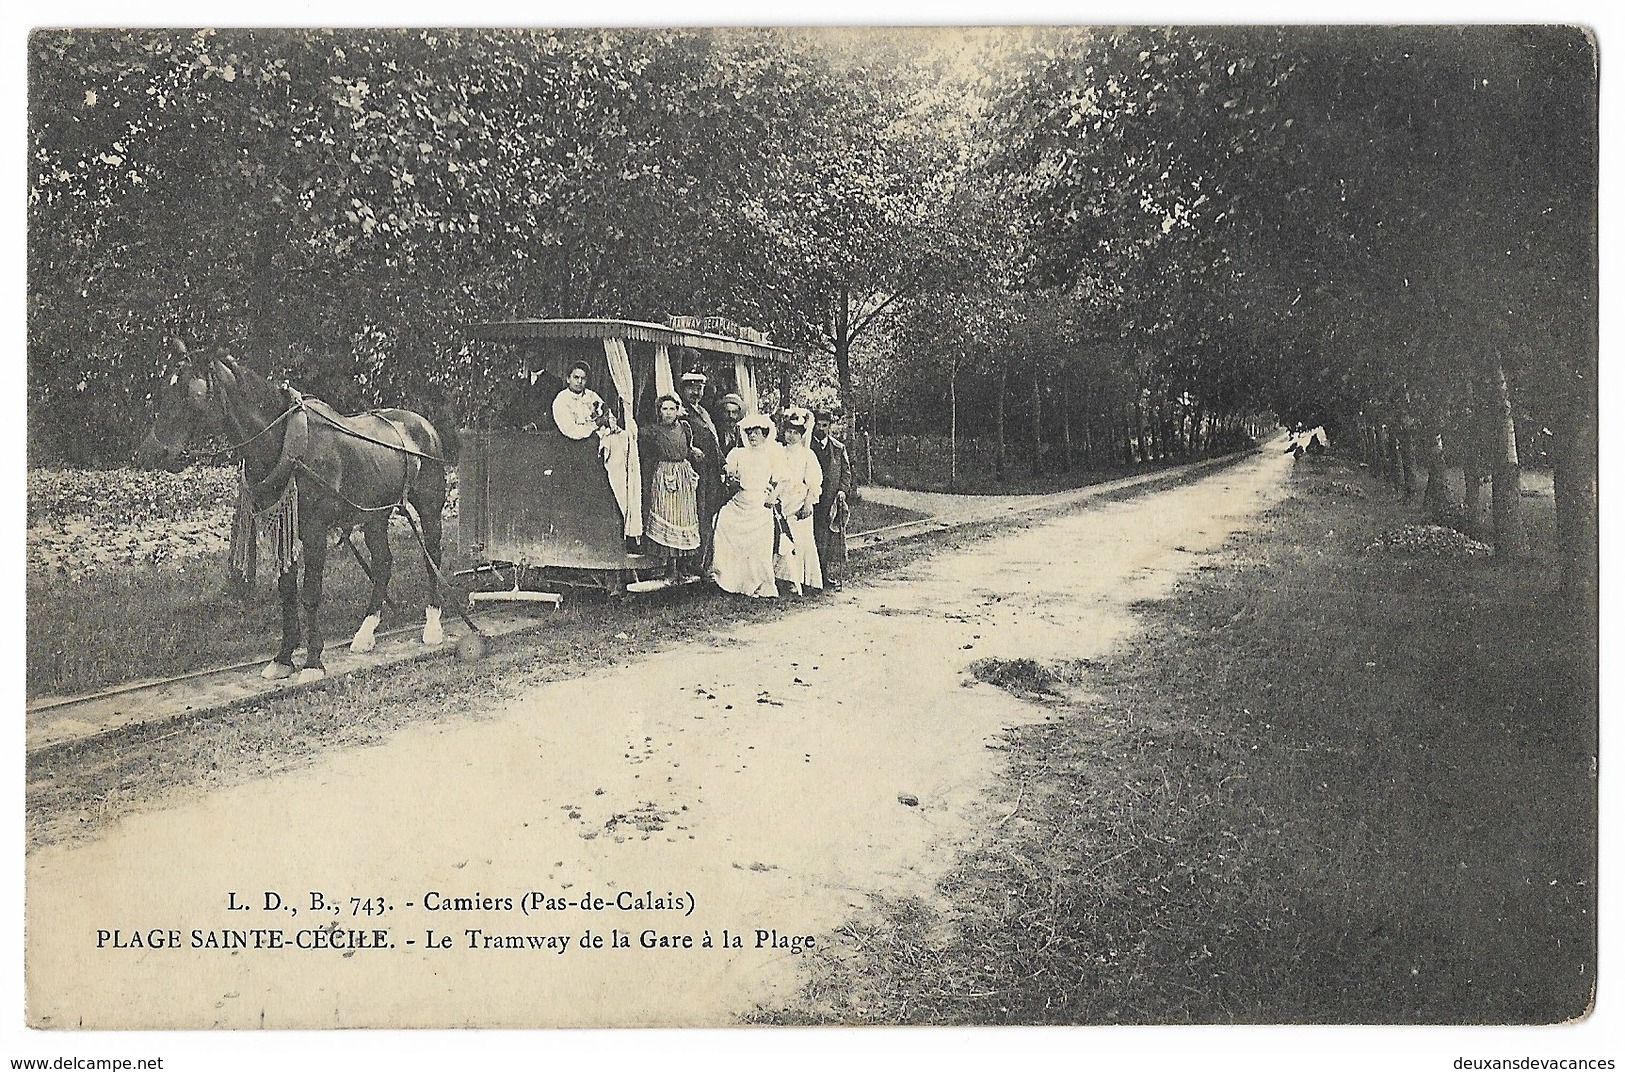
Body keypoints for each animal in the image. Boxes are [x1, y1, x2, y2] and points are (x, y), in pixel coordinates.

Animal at [134, 339, 458, 682]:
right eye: (163, 389)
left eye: (189, 393)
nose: (149, 454)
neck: (288, 444)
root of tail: (422, 424)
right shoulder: (284, 529)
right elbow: (287, 592)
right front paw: (284, 657)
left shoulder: (315, 530)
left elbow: (310, 594)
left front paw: (313, 661)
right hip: (374, 515)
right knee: (383, 564)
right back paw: (365, 633)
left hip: (429, 507)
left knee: (432, 556)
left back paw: (432, 626)